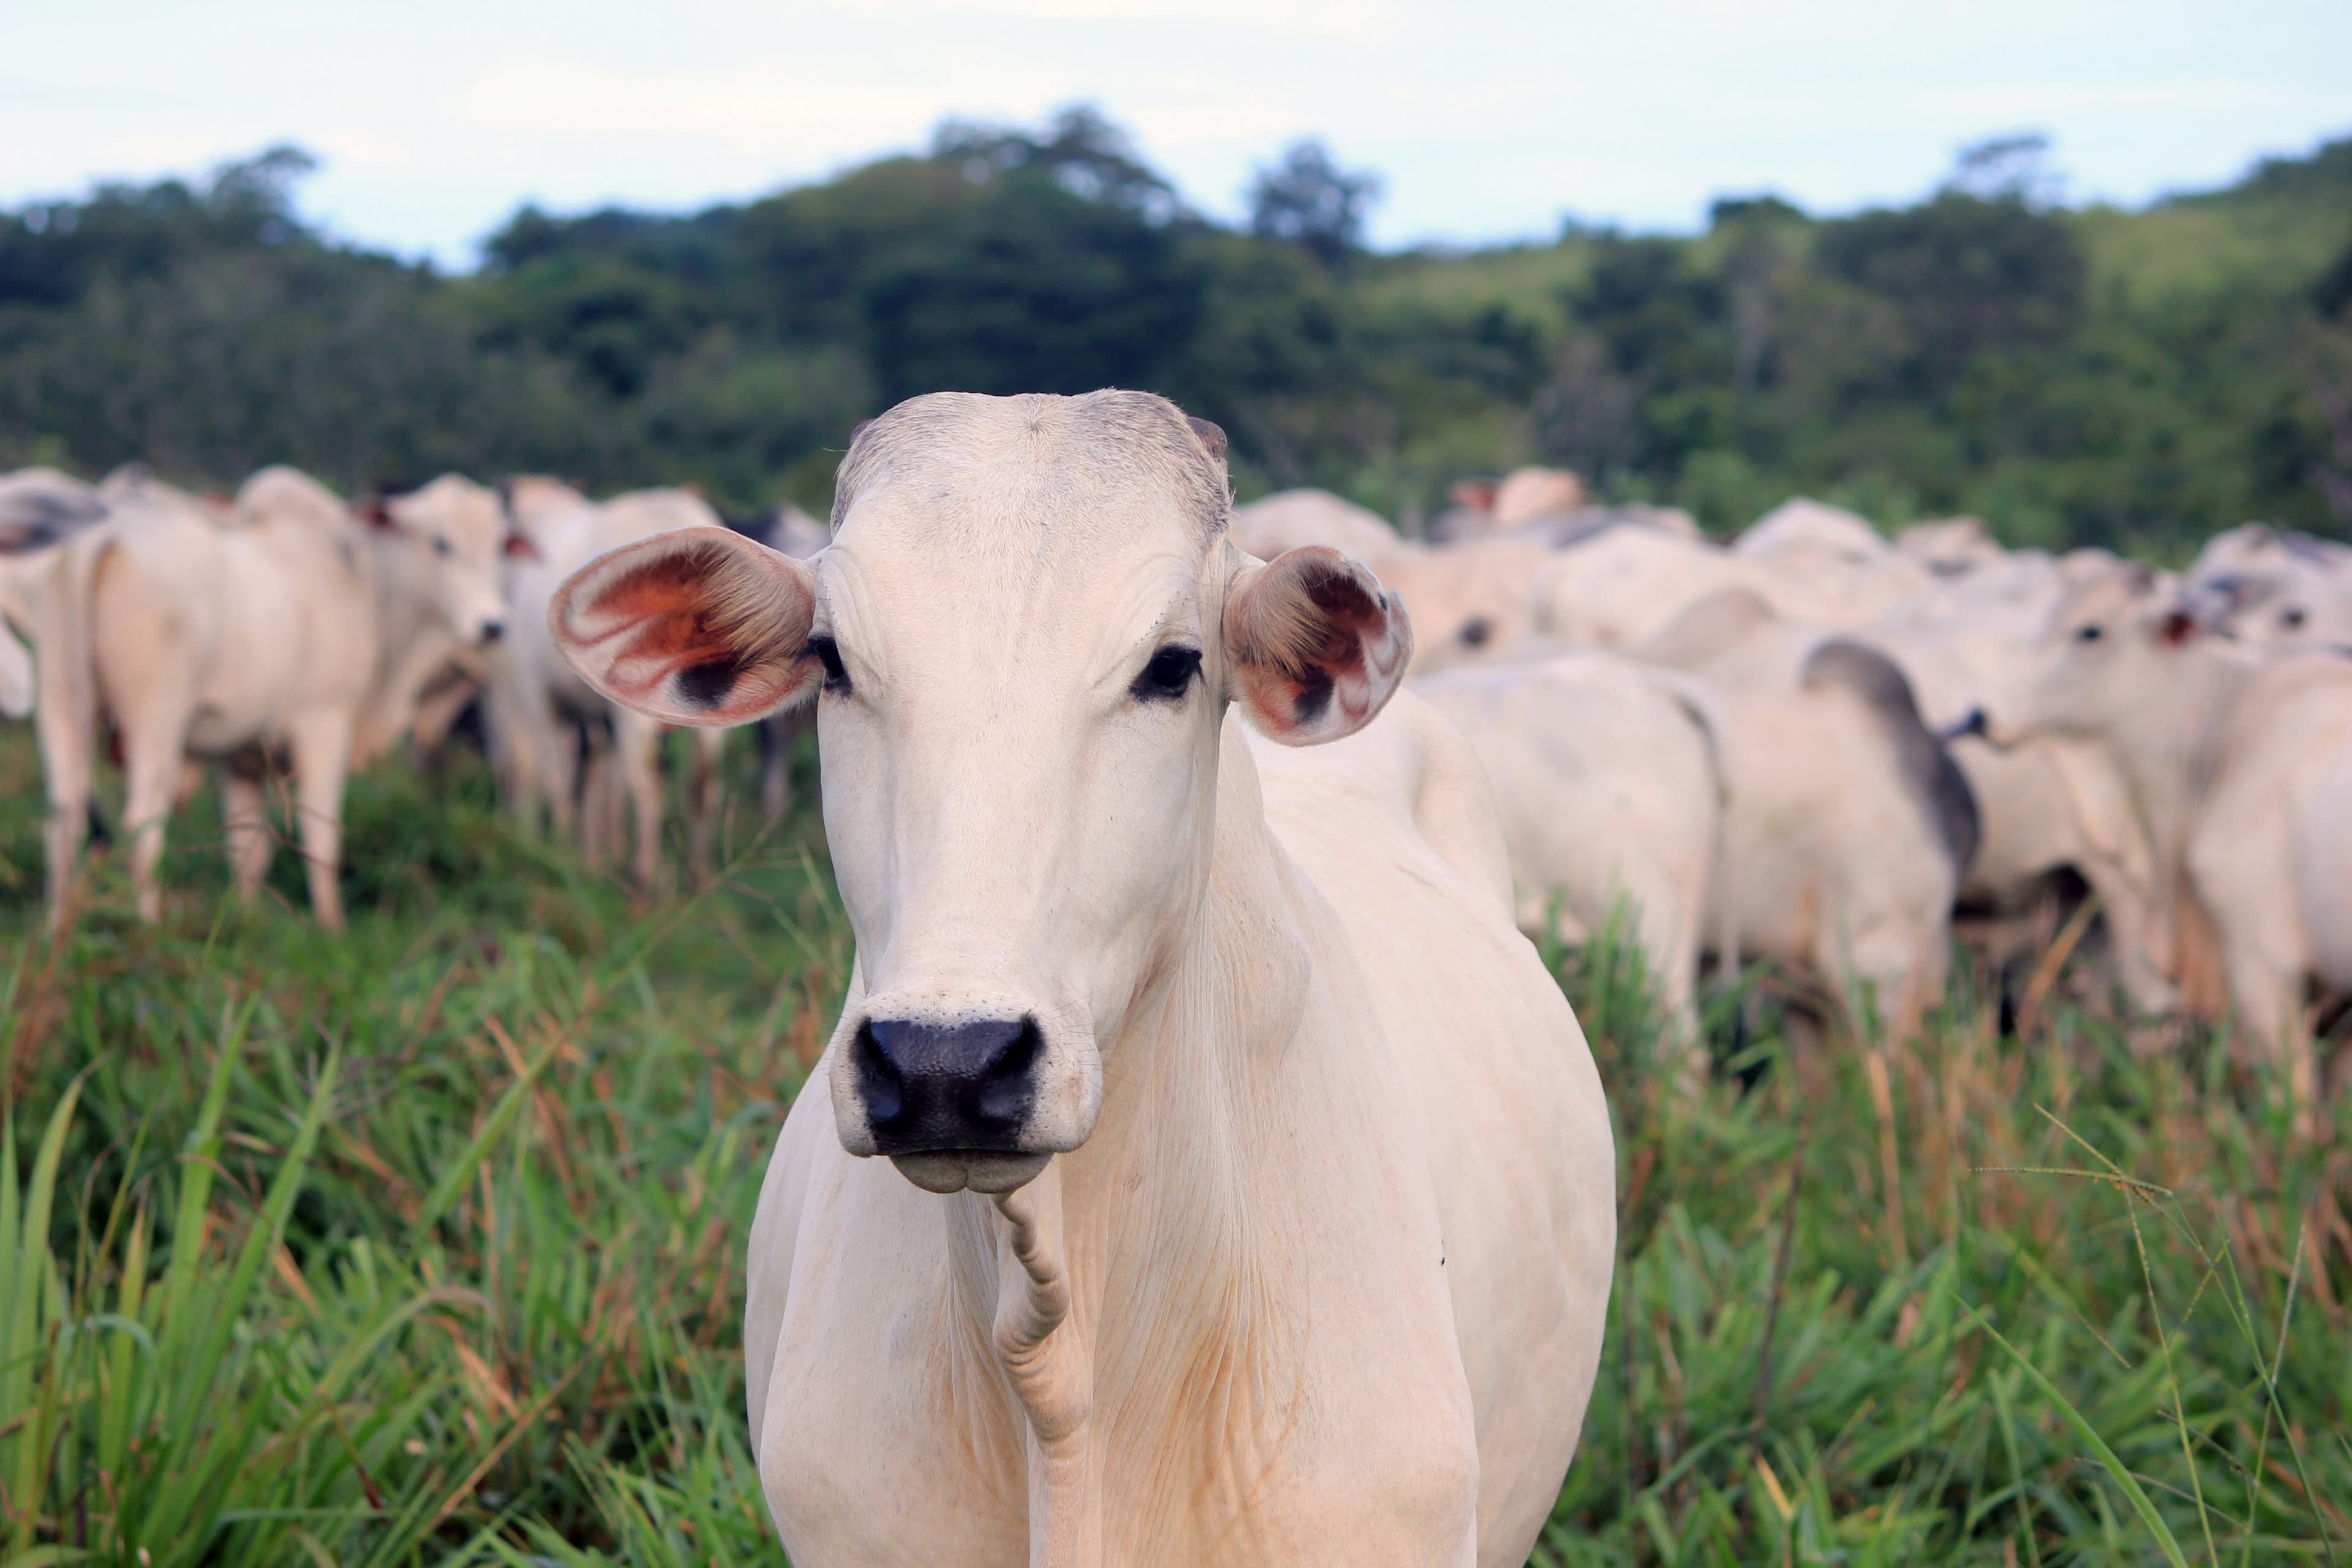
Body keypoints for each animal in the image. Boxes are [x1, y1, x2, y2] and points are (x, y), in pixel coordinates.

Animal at [77, 465, 510, 928]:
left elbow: (247, 852)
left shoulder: (240, 756)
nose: (492, 626)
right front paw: (332, 928)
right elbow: (320, 841)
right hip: (154, 725)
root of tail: (109, 540)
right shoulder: (324, 728)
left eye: (498, 545)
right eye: (441, 543)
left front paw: (245, 920)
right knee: (141, 828)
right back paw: (146, 926)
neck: (367, 585)